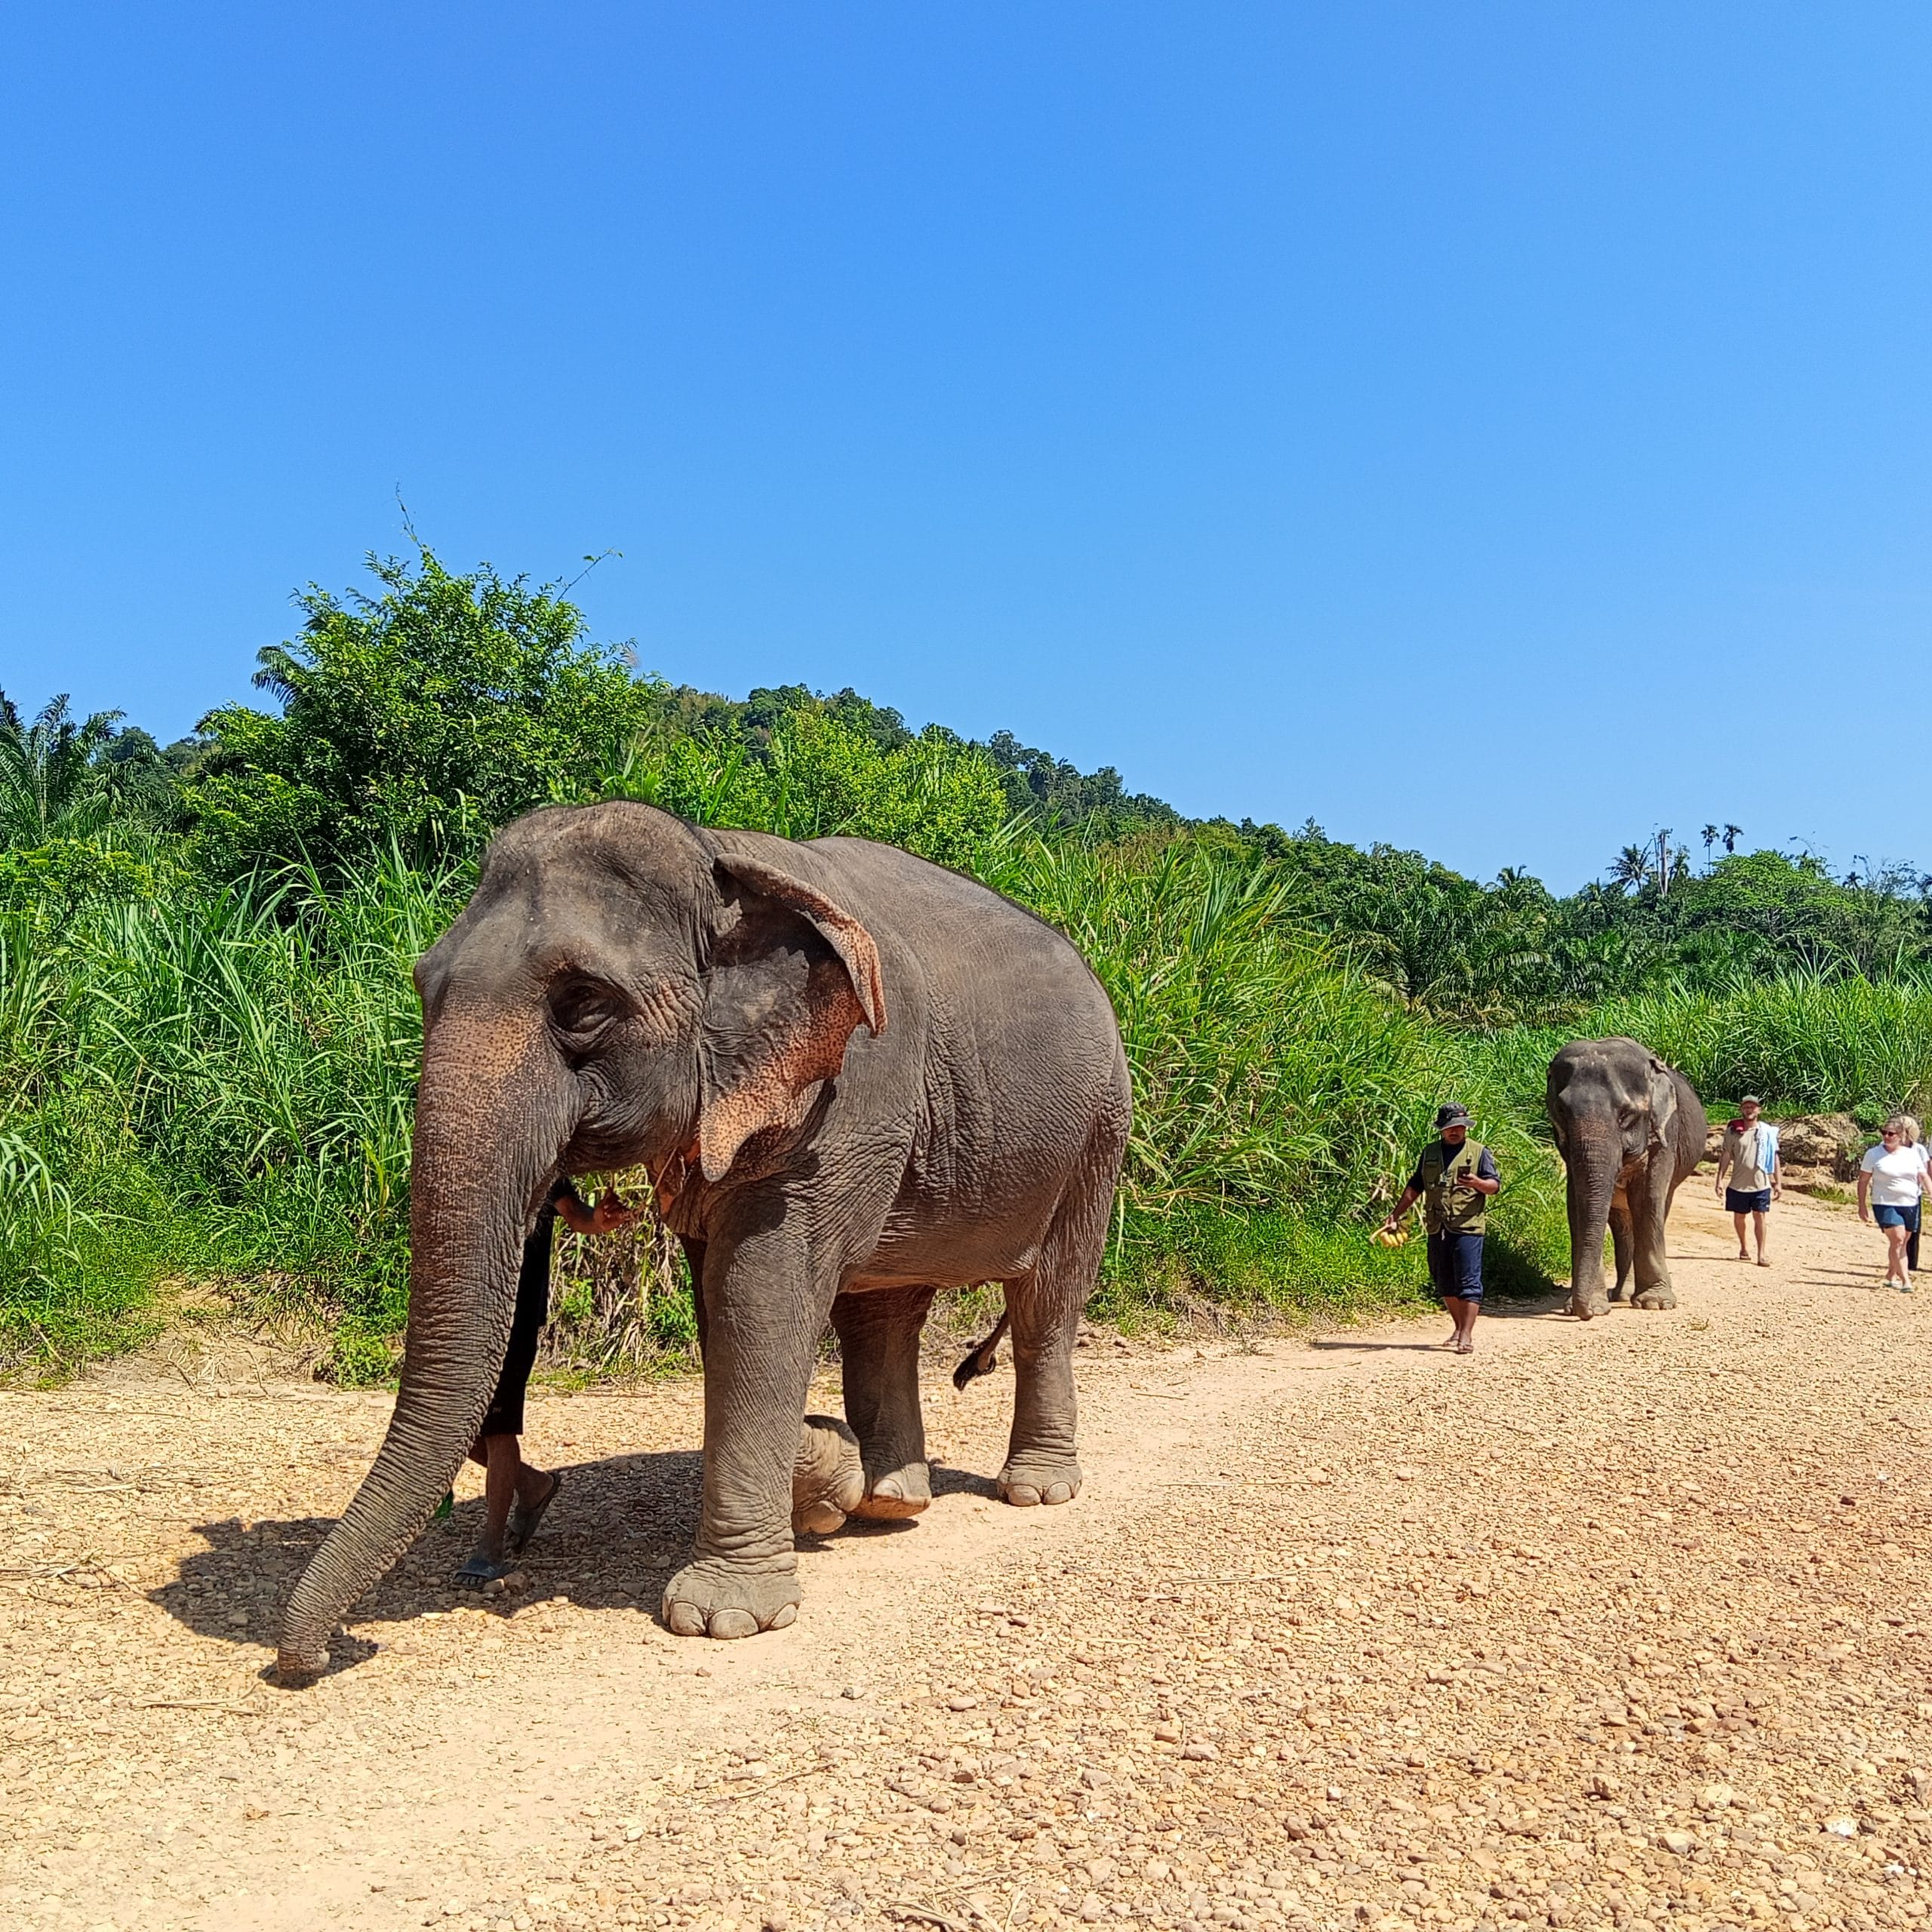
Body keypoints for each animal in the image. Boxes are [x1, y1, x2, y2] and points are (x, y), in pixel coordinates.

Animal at [277, 801, 1130, 1678]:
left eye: (582, 1002)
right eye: (423, 986)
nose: (312, 1659)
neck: (718, 858)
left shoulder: (844, 1095)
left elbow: (760, 1297)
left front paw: (724, 1616)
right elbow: (723, 1307)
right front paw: (830, 1482)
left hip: (1099, 1130)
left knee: (1044, 1303)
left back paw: (1032, 1490)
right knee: (884, 1312)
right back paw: (890, 1499)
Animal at [1546, 1036, 1707, 1320]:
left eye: (1626, 1114)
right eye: (1562, 1111)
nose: (1584, 1313)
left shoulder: (1666, 1132)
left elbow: (1648, 1200)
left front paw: (1656, 1303)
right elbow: (1577, 1204)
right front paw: (1591, 1305)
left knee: (1655, 1209)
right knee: (1621, 1222)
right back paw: (1621, 1295)